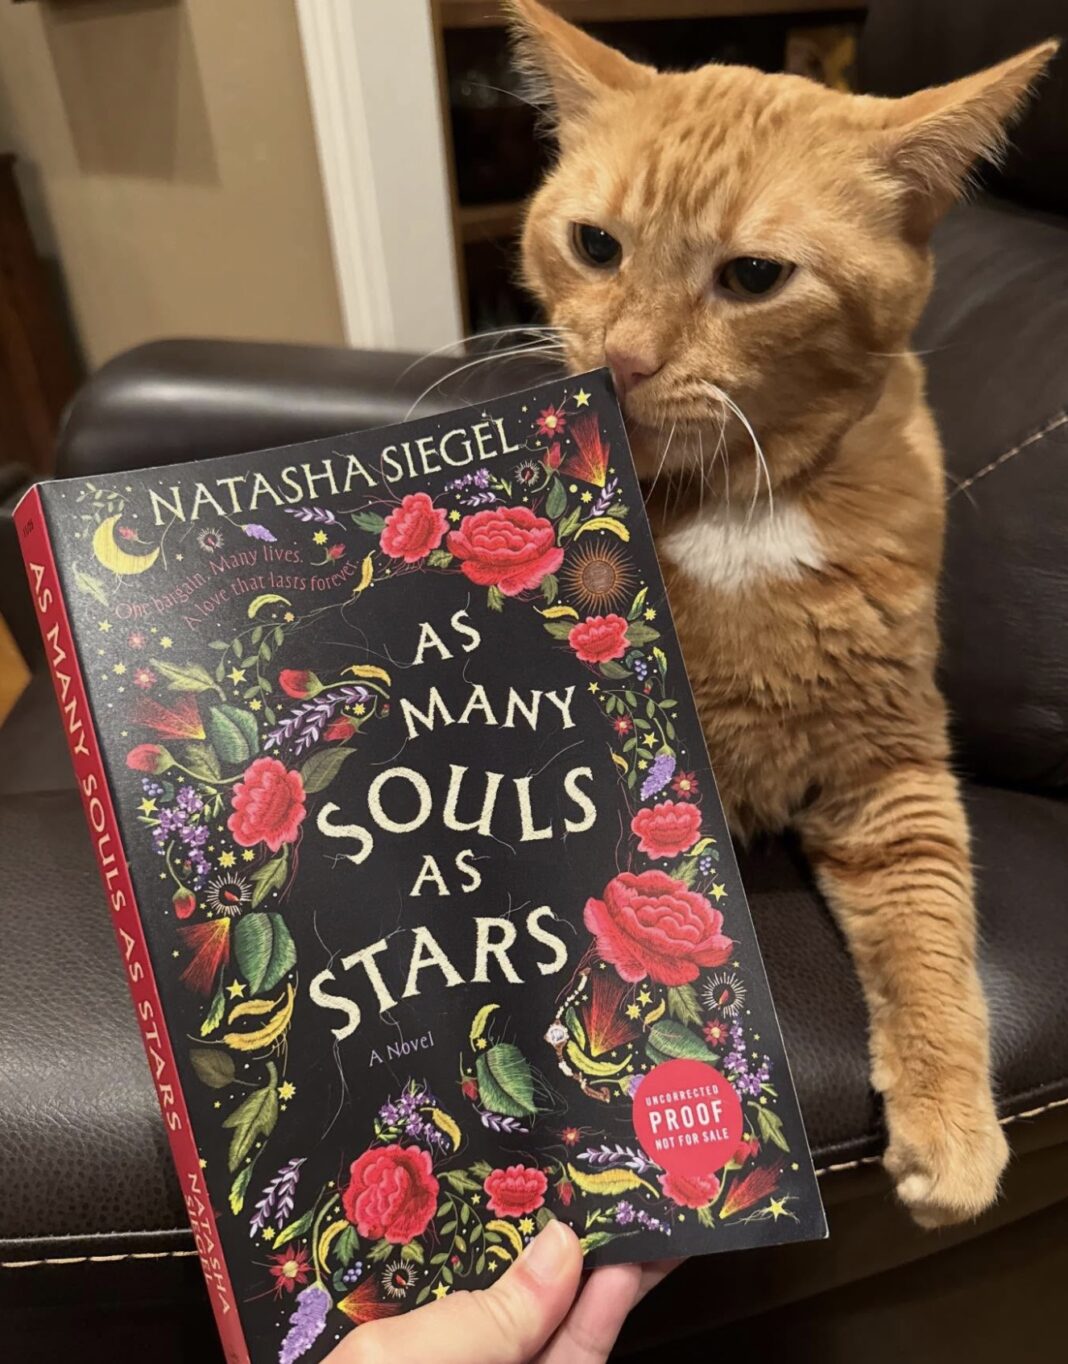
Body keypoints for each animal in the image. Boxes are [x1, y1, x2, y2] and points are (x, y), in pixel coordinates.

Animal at [507, 0, 1056, 1228]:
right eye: (595, 246)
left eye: (754, 276)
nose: (622, 360)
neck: (734, 506)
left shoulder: (890, 771)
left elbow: (933, 933)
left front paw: (952, 1123)